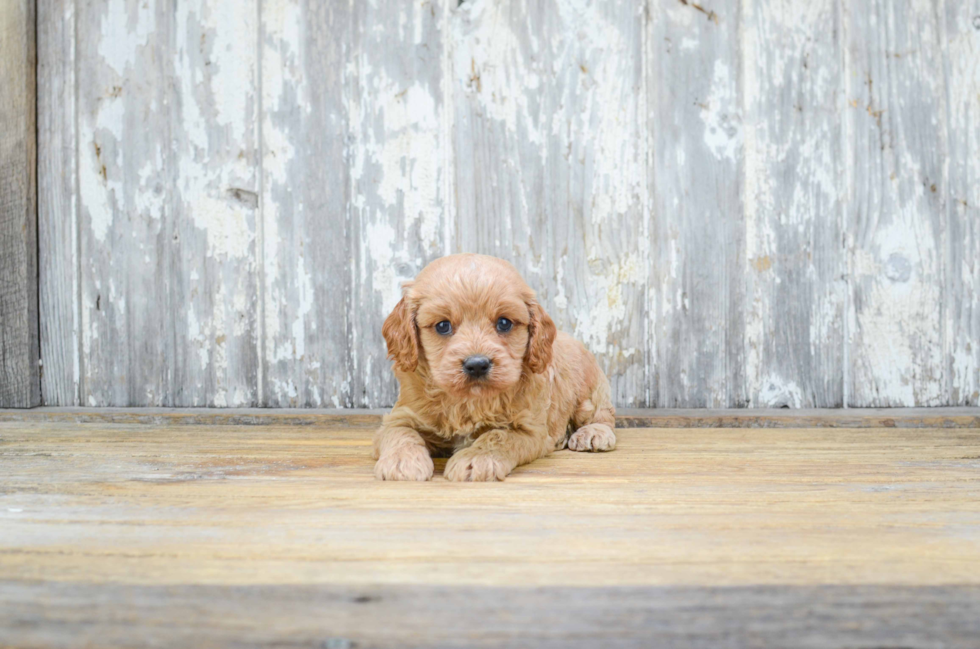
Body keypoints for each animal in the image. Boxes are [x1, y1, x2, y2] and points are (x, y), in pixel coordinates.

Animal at [372, 253, 616, 480]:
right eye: (442, 326)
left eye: (504, 323)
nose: (477, 365)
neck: (468, 401)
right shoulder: (401, 415)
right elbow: (400, 432)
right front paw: (402, 461)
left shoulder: (530, 430)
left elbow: (498, 437)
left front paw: (475, 459)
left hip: (590, 391)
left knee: (603, 415)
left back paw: (594, 434)